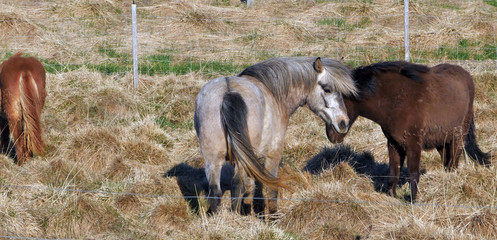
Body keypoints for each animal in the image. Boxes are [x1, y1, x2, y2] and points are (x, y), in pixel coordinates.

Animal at [195, 56, 356, 218]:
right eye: (327, 89)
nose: (343, 123)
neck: (273, 93)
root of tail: (228, 91)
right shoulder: (273, 154)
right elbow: (271, 189)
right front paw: (273, 218)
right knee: (236, 185)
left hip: (212, 158)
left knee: (215, 191)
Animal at [326, 61, 488, 201]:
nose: (331, 136)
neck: (397, 101)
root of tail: (466, 75)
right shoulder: (393, 143)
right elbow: (393, 171)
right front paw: (391, 196)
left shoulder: (413, 144)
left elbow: (413, 173)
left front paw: (412, 200)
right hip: (441, 140)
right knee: (447, 162)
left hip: (458, 136)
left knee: (454, 161)